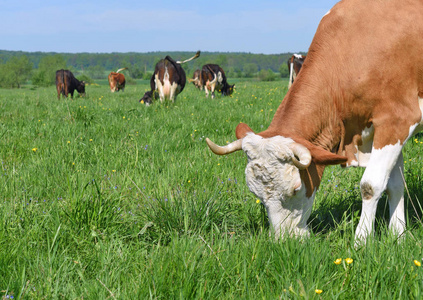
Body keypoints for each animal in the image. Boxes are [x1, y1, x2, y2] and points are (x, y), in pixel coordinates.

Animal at [206, 0, 423, 245]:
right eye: (255, 193)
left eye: (295, 189)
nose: (285, 242)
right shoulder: (386, 130)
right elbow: (395, 185)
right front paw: (399, 235)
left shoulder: (396, 120)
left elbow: (371, 185)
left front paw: (361, 241)